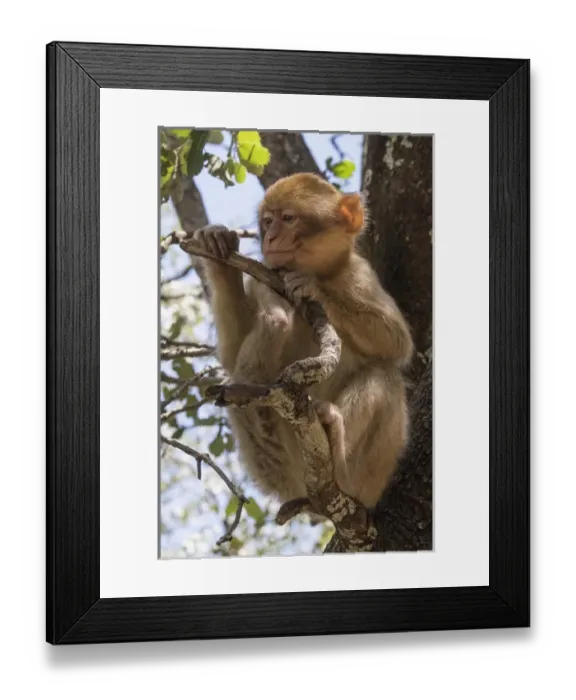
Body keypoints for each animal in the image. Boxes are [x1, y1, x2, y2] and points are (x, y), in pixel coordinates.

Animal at [192, 172, 414, 514]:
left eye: (288, 218)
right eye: (267, 221)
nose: (270, 239)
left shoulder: (360, 275)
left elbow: (398, 343)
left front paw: (312, 288)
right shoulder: (263, 279)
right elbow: (228, 357)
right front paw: (220, 254)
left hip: (371, 479)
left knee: (385, 374)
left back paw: (340, 456)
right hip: (279, 467)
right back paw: (273, 323)